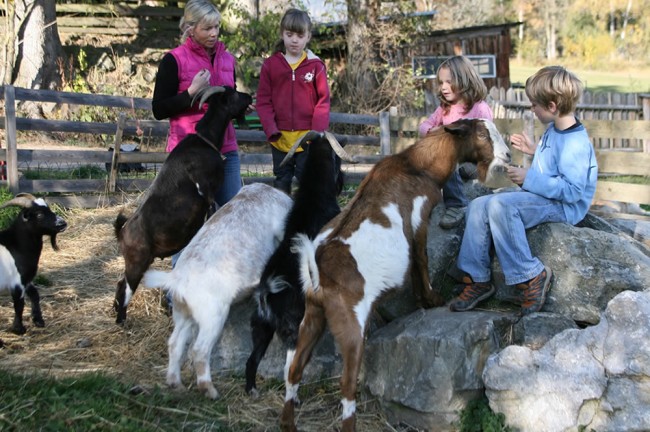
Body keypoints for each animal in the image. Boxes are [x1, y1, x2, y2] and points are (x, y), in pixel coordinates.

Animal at [0, 194, 67, 336]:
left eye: (48, 208)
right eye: (39, 215)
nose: (62, 223)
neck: (16, 245)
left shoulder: (26, 279)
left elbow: (35, 294)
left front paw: (38, 320)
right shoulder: (17, 281)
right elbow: (19, 305)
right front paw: (18, 329)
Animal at [114, 86, 251, 324]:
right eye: (233, 92)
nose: (251, 96)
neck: (204, 141)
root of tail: (123, 231)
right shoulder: (207, 192)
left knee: (120, 283)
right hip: (136, 262)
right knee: (126, 287)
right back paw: (121, 320)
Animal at [244, 132, 354, 394]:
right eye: (337, 160)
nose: (342, 182)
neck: (314, 198)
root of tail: (267, 292)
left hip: (261, 327)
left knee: (252, 360)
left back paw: (252, 390)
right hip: (293, 328)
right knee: (289, 368)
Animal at [278, 119, 512, 432]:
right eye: (483, 135)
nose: (508, 156)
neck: (415, 165)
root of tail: (317, 269)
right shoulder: (419, 218)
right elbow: (420, 259)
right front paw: (432, 300)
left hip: (312, 313)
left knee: (294, 370)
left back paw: (289, 423)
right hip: (351, 323)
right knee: (347, 384)